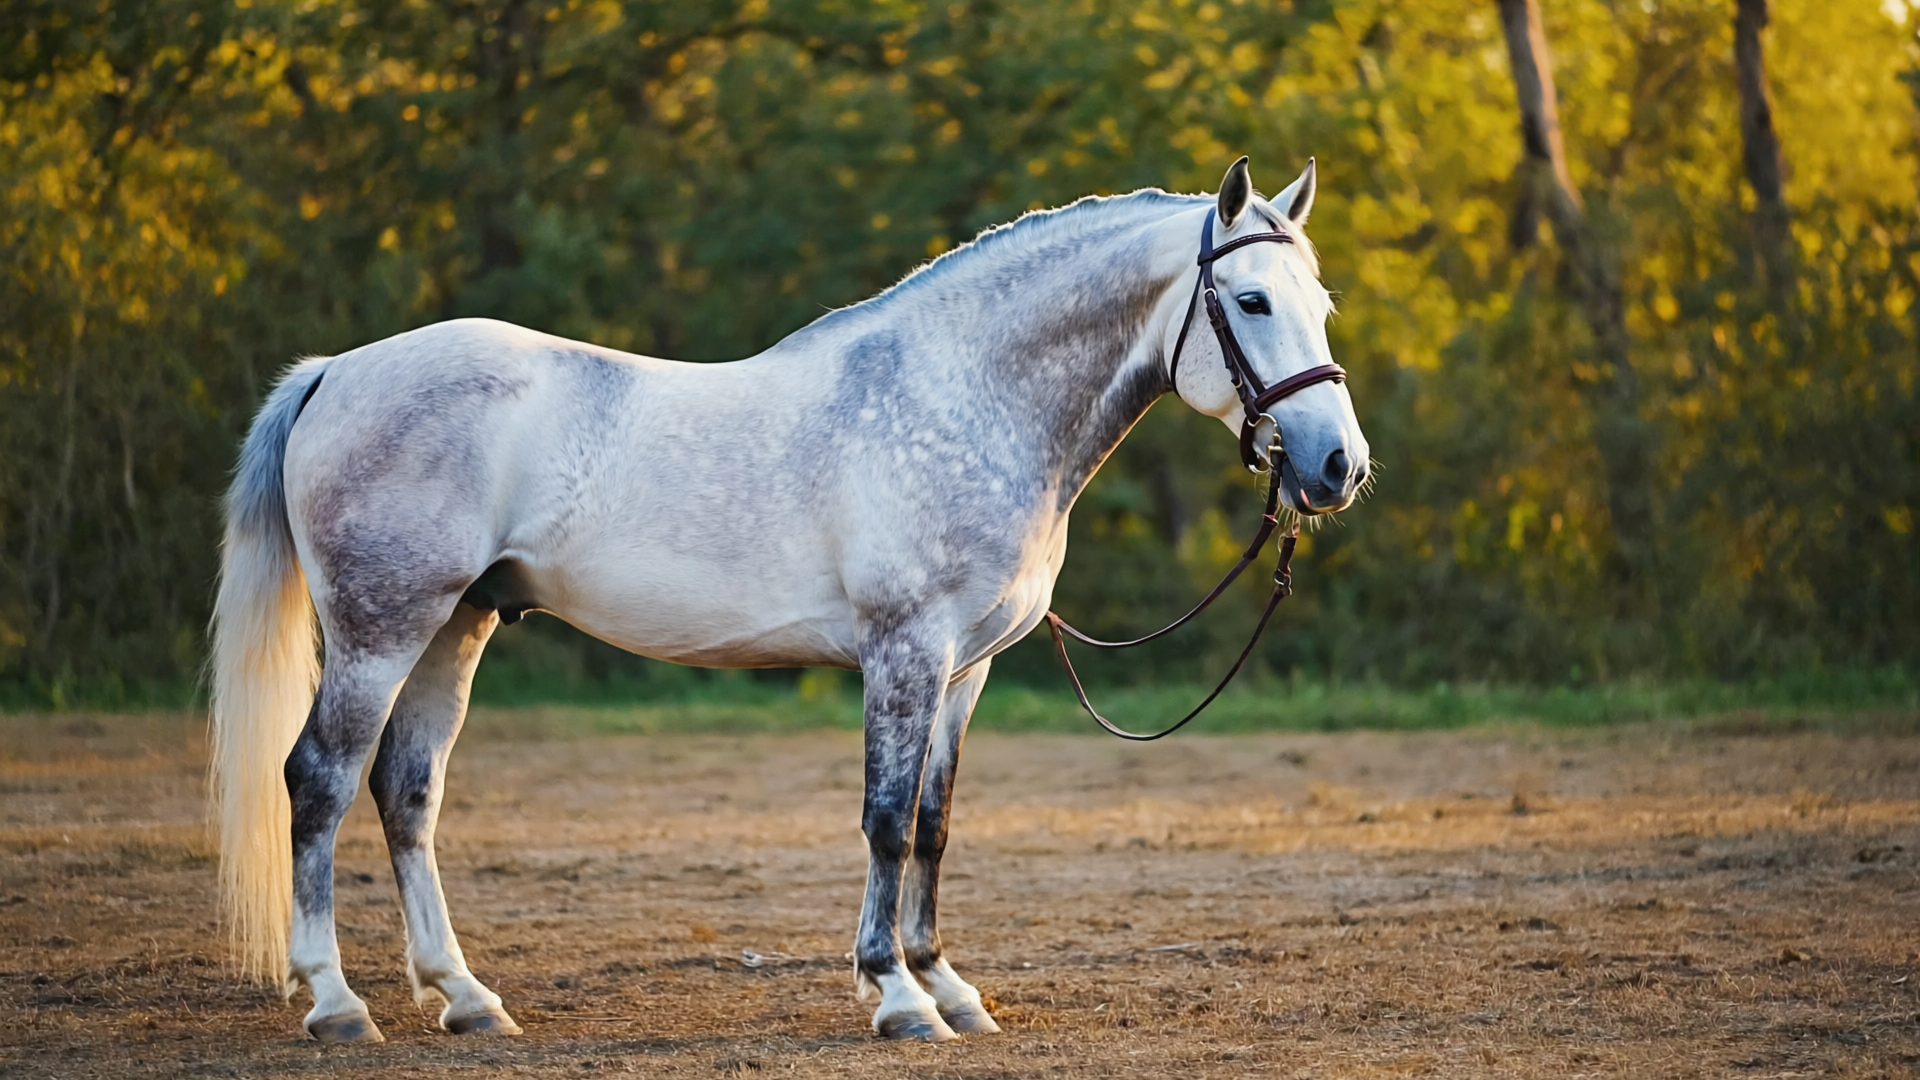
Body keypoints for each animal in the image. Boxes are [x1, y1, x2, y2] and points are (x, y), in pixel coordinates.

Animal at [209, 156, 1370, 1044]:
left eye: (1320, 305)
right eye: (1252, 302)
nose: (1337, 467)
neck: (965, 397)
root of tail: (335, 372)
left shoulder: (967, 668)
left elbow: (934, 821)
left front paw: (946, 983)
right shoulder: (904, 651)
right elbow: (885, 821)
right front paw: (897, 997)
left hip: (458, 623)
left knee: (407, 791)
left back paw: (465, 997)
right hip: (381, 630)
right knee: (318, 780)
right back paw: (336, 1004)